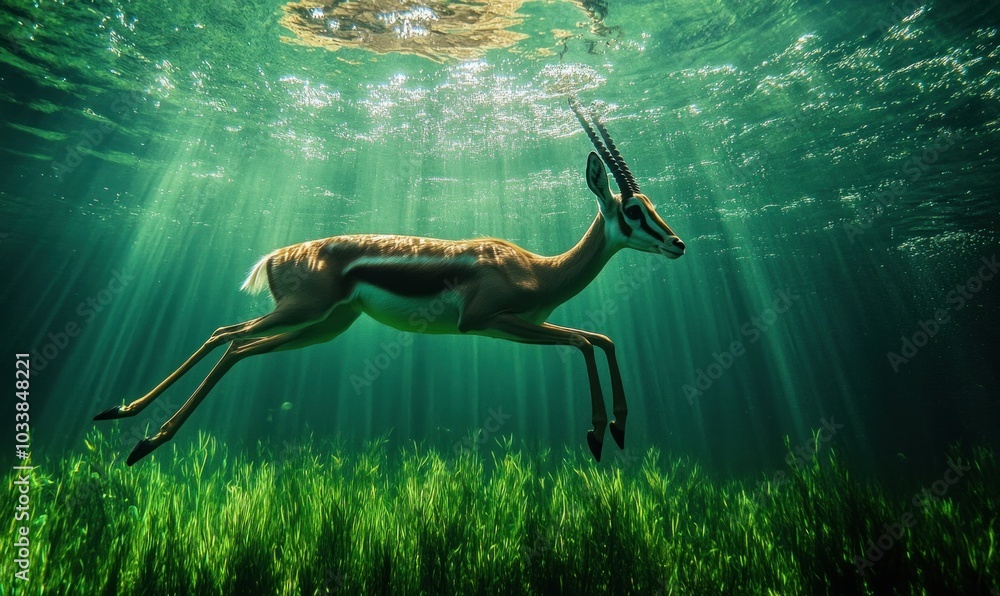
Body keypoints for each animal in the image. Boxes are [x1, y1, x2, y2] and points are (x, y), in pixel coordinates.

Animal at [94, 98, 686, 465]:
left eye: (652, 203)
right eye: (633, 210)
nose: (678, 244)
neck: (538, 269)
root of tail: (275, 257)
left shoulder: (516, 324)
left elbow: (601, 338)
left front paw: (618, 428)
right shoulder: (491, 321)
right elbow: (586, 340)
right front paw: (597, 433)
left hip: (323, 327)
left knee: (234, 342)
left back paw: (122, 415)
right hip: (302, 314)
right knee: (229, 338)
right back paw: (144, 439)